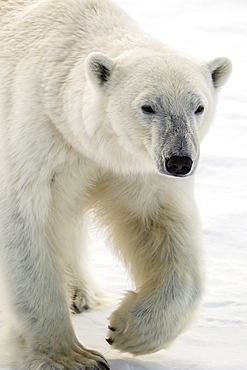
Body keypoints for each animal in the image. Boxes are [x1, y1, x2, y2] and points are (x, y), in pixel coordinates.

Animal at [0, 0, 232, 368]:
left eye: (199, 106)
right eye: (148, 106)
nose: (180, 161)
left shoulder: (136, 169)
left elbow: (159, 226)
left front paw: (128, 329)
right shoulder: (39, 138)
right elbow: (27, 225)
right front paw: (73, 356)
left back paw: (78, 294)